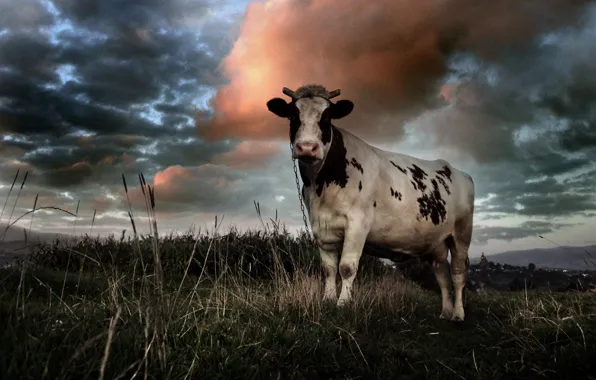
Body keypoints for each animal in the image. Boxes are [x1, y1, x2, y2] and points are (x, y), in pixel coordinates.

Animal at [266, 84, 474, 320]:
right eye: (293, 115)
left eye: (327, 117)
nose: (307, 148)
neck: (321, 185)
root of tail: (459, 172)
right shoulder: (322, 227)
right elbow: (328, 269)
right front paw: (327, 300)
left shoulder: (358, 222)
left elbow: (346, 267)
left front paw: (343, 304)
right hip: (436, 243)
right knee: (442, 275)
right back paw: (445, 313)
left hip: (462, 234)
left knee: (458, 274)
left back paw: (458, 314)